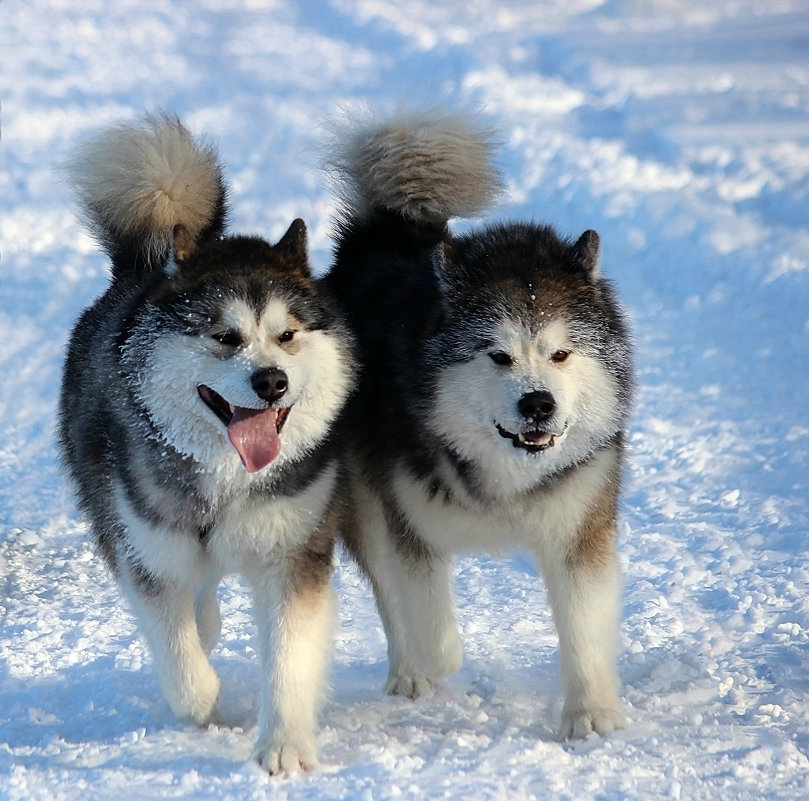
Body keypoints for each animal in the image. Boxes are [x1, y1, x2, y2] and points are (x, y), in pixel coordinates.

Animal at [58, 117, 356, 776]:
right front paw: (204, 700)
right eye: (224, 337)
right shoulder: (147, 554)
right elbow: (181, 659)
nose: (271, 381)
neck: (227, 477)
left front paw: (283, 746)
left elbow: (289, 657)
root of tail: (143, 270)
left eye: (287, 335)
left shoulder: (292, 554)